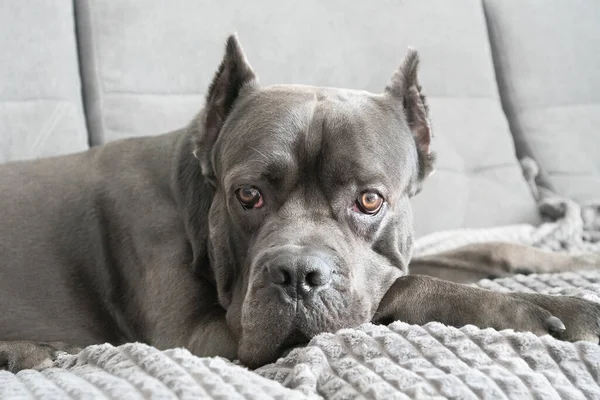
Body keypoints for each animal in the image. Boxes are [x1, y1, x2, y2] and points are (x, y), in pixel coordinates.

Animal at [1, 36, 600, 374]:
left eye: (370, 199)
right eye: (248, 195)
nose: (295, 275)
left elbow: (478, 251)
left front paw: (574, 262)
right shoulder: (199, 336)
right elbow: (405, 286)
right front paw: (549, 307)